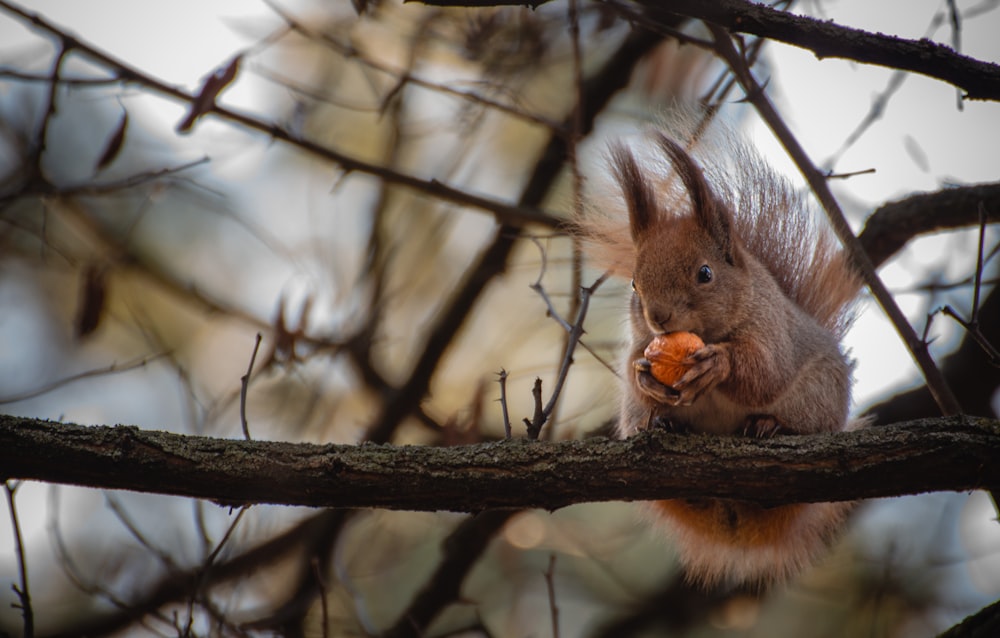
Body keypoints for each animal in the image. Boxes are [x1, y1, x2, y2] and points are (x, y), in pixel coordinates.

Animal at [584, 119, 864, 592]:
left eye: (705, 273)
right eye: (635, 284)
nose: (658, 317)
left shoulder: (772, 331)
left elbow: (764, 371)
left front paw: (718, 365)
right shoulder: (641, 341)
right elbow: (636, 366)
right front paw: (645, 376)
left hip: (819, 396)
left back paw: (770, 426)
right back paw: (665, 426)